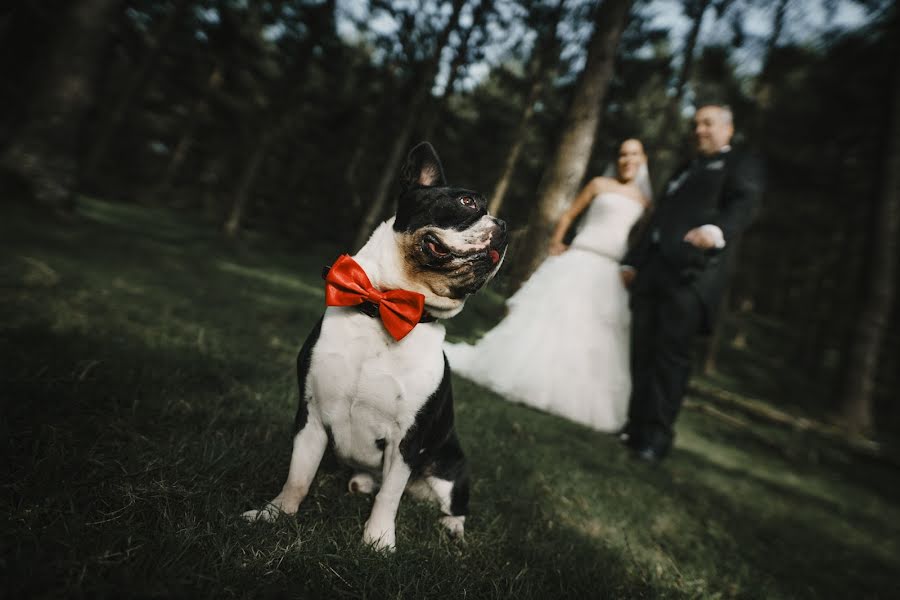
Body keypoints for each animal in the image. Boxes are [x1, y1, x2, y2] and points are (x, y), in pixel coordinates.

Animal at [244, 143, 506, 552]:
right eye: (466, 201)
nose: (506, 229)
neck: (383, 306)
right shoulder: (311, 416)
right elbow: (298, 475)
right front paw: (275, 514)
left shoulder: (406, 439)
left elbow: (390, 497)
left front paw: (378, 542)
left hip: (452, 468)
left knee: (452, 504)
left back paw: (453, 528)